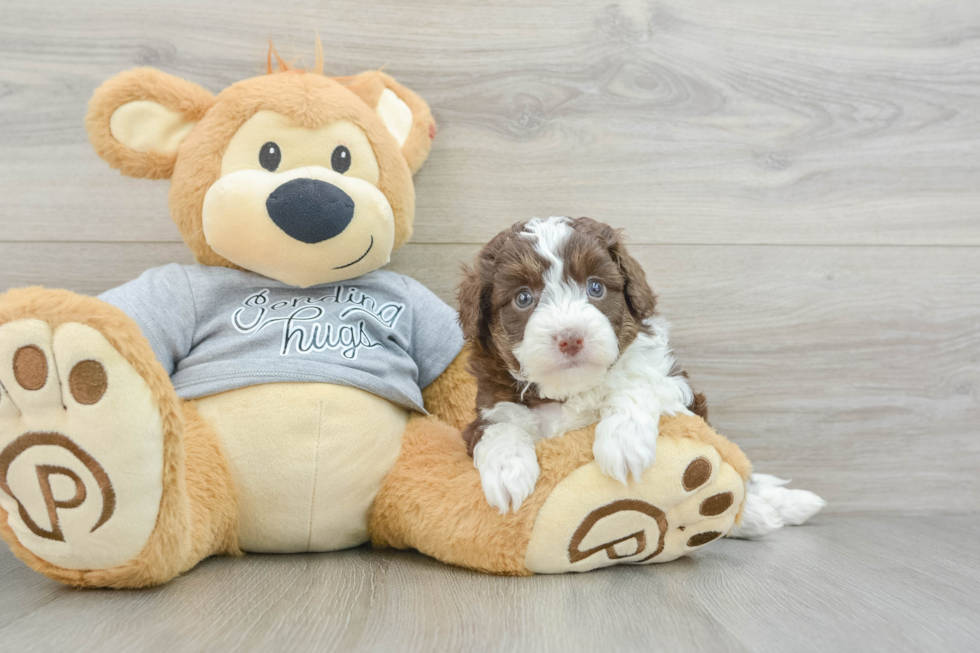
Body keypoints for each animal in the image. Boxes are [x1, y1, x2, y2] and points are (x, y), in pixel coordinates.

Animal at [458, 216, 704, 512]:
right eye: (523, 298)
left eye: (595, 287)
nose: (570, 338)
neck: (567, 390)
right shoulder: (488, 407)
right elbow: (499, 426)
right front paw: (507, 472)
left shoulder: (675, 384)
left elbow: (635, 382)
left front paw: (624, 441)